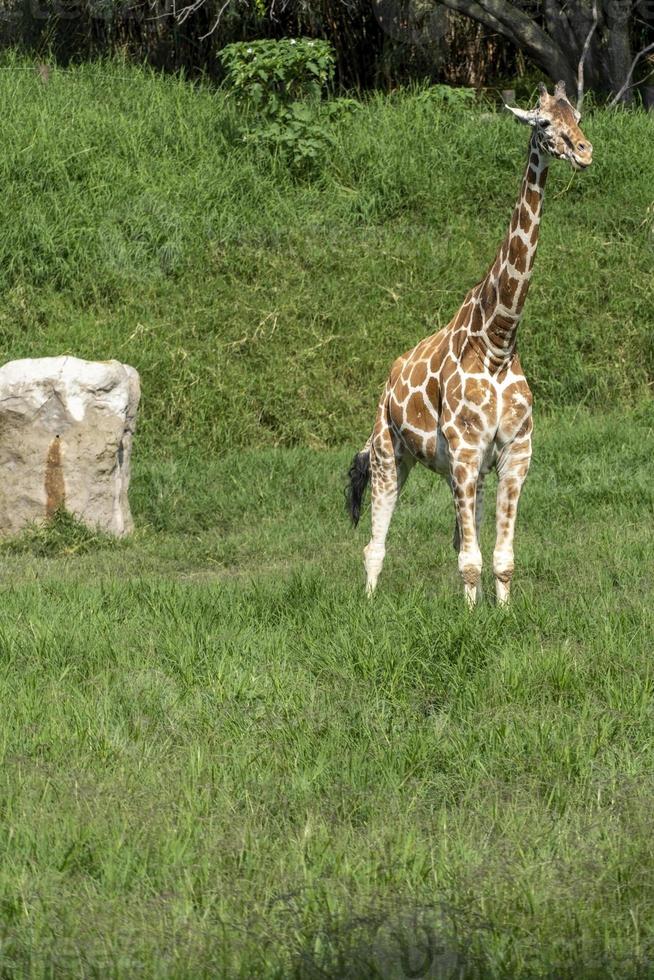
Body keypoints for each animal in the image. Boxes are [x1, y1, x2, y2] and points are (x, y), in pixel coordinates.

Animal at [348, 84, 596, 604]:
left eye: (579, 117)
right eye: (544, 124)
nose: (584, 151)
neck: (497, 342)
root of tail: (389, 379)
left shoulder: (514, 453)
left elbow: (498, 558)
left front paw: (497, 614)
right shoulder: (464, 452)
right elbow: (470, 562)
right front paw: (469, 615)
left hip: (463, 470)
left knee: (460, 536)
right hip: (389, 454)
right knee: (375, 544)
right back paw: (370, 604)